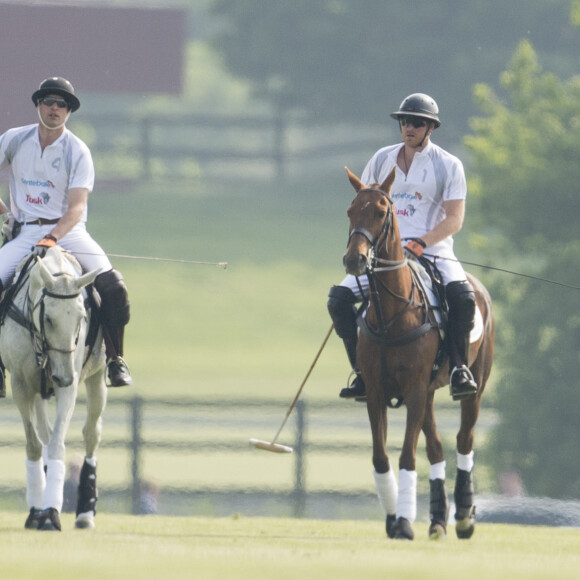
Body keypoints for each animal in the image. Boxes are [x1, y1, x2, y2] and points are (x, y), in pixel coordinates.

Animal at [342, 167, 496, 540]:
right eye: (351, 211)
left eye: (381, 212)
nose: (354, 260)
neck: (391, 316)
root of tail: (479, 286)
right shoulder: (378, 392)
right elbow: (381, 458)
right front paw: (394, 518)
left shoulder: (412, 389)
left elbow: (407, 458)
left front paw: (404, 523)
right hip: (427, 392)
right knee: (437, 447)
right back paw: (438, 520)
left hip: (474, 385)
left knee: (464, 439)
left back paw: (464, 517)